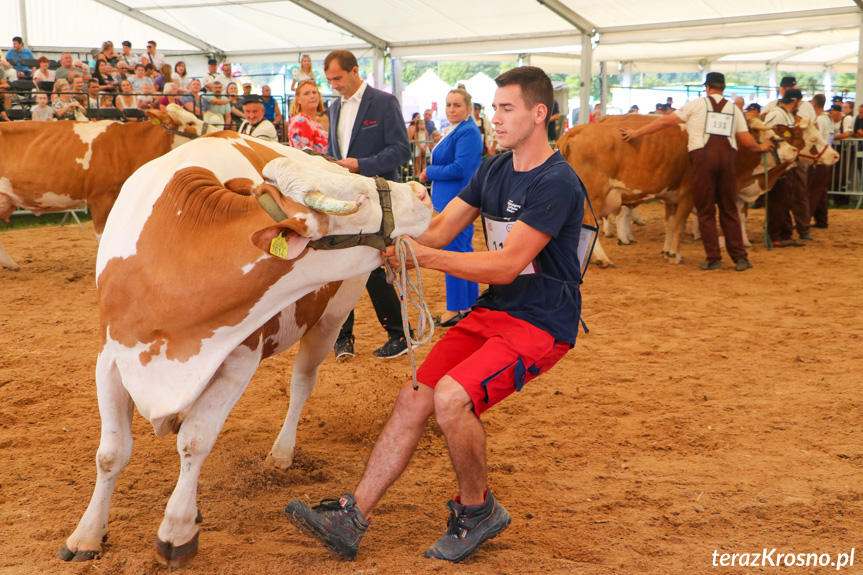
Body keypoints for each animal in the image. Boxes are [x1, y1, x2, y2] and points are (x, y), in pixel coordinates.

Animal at [59, 130, 432, 568]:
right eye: (363, 200)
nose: (421, 191)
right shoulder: (112, 356)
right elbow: (111, 453)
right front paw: (87, 533)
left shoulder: (240, 358)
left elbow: (195, 441)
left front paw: (177, 531)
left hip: (333, 315)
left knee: (302, 382)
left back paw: (282, 453)